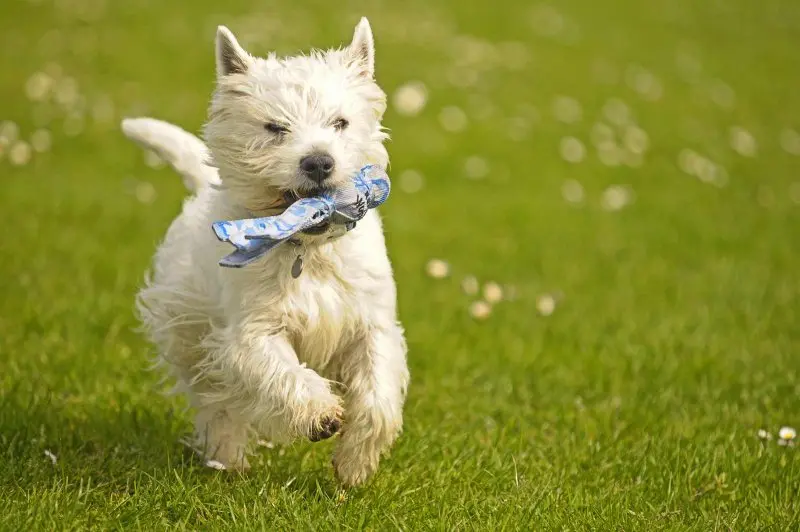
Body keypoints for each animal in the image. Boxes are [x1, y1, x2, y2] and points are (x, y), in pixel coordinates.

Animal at [130, 17, 412, 486]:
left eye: (340, 122)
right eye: (275, 128)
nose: (318, 162)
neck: (309, 249)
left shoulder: (371, 325)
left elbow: (377, 397)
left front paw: (354, 464)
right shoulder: (251, 331)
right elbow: (280, 371)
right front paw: (320, 414)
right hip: (191, 331)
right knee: (218, 402)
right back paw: (227, 459)